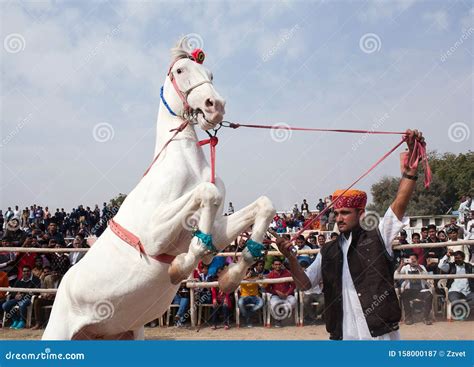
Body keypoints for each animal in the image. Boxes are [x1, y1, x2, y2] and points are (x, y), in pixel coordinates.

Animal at [43, 38, 278, 340]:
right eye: (179, 70)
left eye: (211, 75)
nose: (215, 106)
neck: (187, 163)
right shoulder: (153, 236)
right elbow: (207, 193)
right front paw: (182, 265)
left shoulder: (216, 230)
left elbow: (263, 205)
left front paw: (232, 275)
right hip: (58, 332)